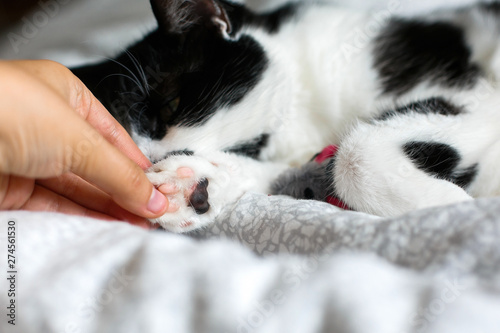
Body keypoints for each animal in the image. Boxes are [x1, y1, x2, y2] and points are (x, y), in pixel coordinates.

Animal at [72, 0, 500, 232]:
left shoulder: (477, 94)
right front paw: (191, 185)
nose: (148, 159)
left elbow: (354, 155)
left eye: (171, 104)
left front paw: (448, 207)